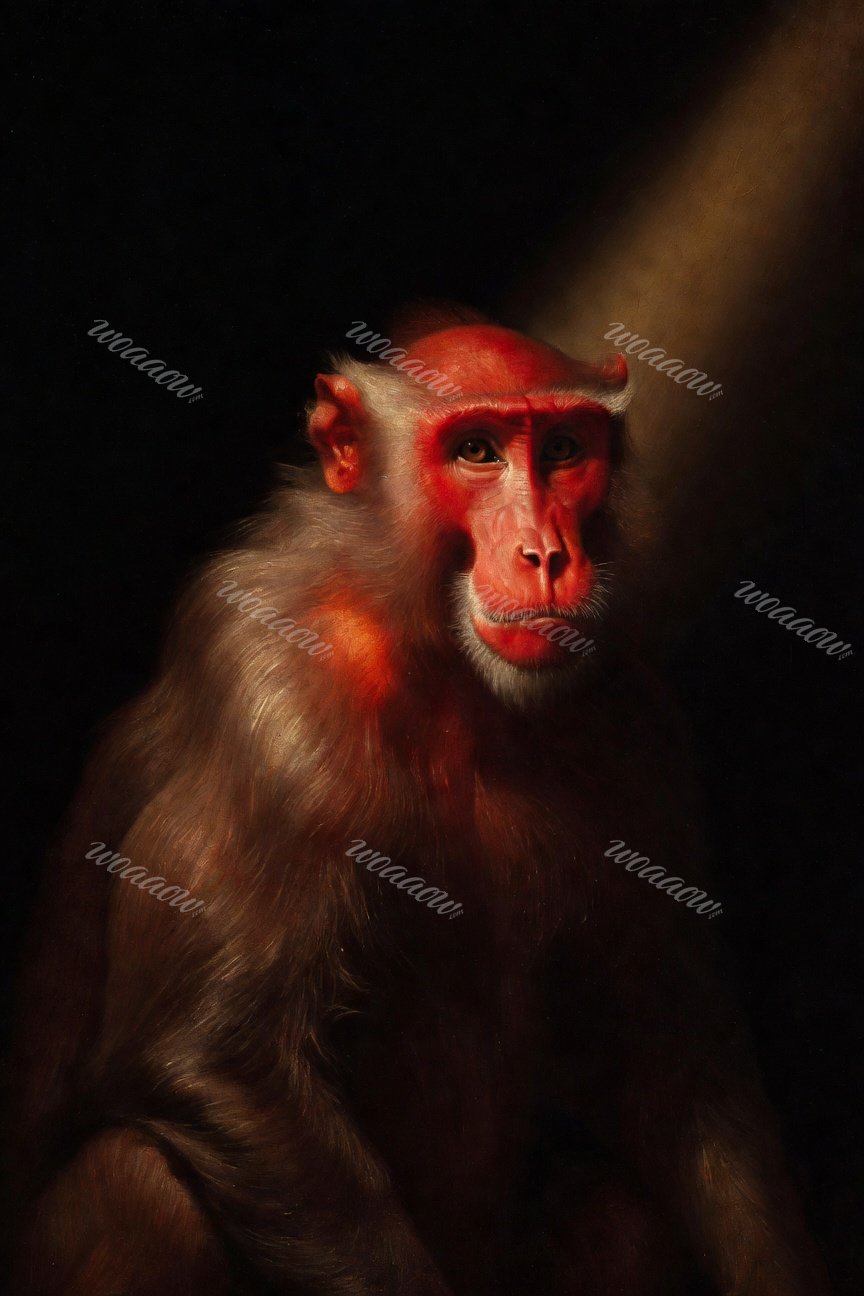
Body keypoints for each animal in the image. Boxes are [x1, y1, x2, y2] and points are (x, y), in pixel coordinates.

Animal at [4, 306, 831, 1295]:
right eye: (475, 451)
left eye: (563, 449)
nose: (545, 551)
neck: (435, 653)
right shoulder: (271, 694)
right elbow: (221, 1057)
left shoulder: (632, 710)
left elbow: (669, 1047)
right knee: (142, 1187)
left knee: (619, 1220)